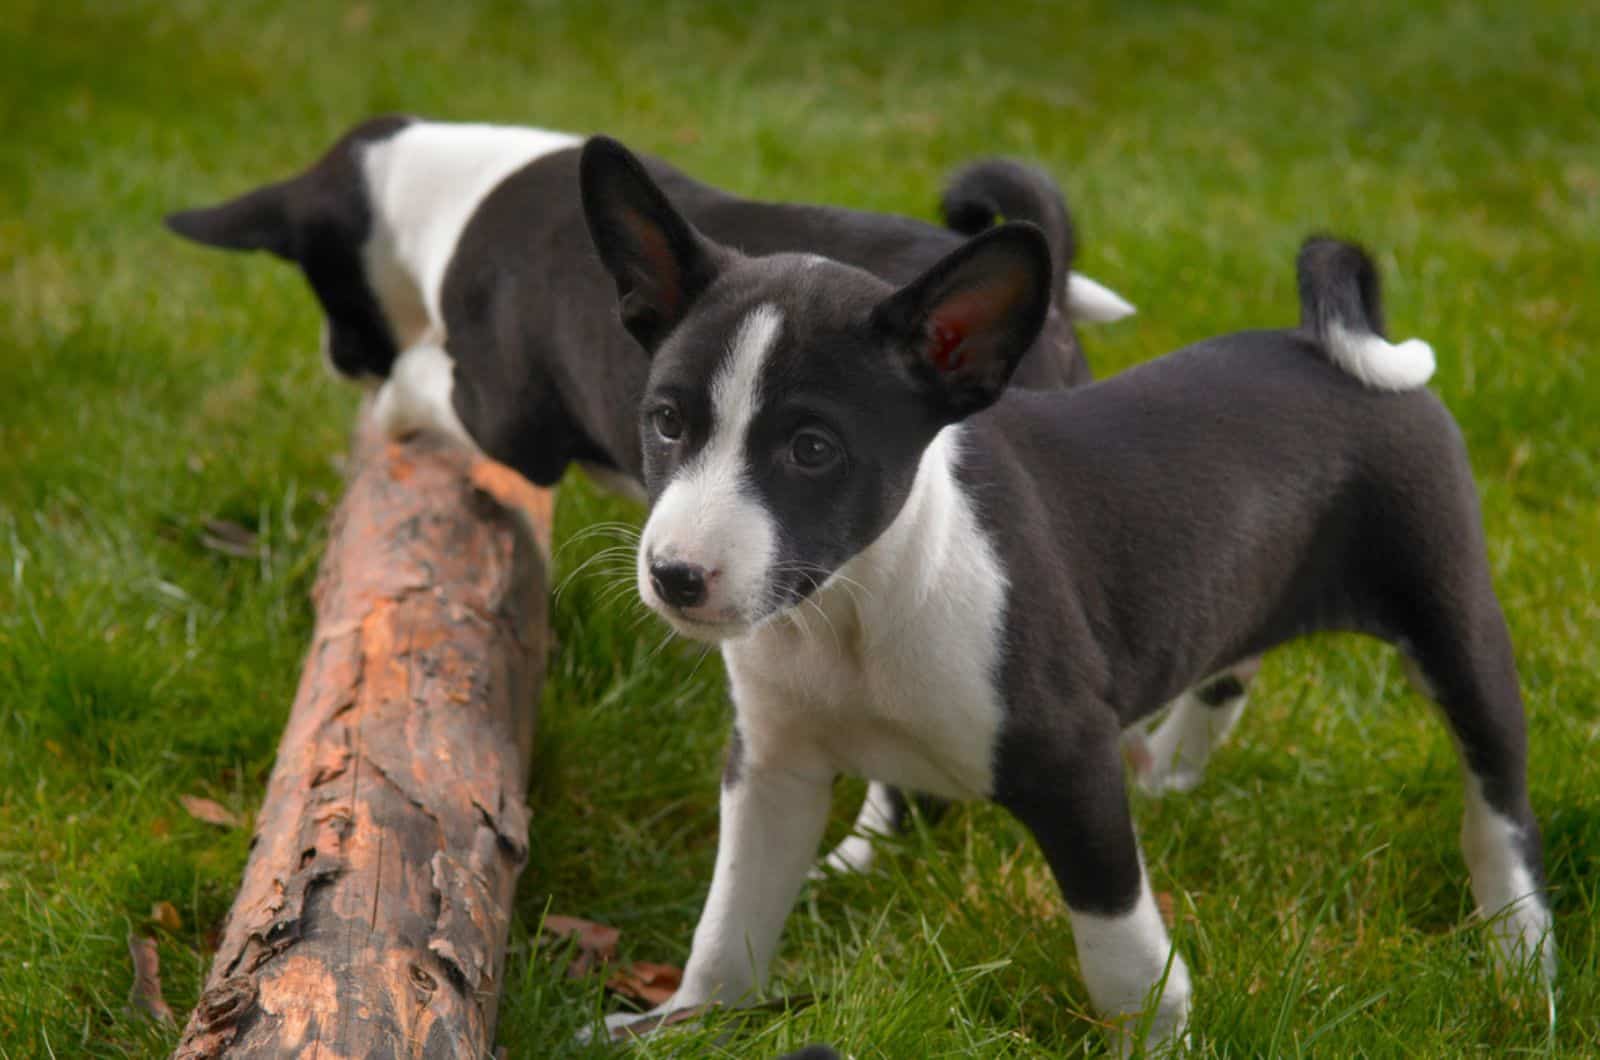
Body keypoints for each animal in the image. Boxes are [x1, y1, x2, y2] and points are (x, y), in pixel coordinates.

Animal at [165, 116, 1139, 499]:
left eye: (318, 284)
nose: (337, 359)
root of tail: (1043, 295)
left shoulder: (505, 418)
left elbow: (417, 378)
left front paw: (388, 405)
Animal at [582, 139, 1555, 1056]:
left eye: (812, 449)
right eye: (666, 422)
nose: (675, 575)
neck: (861, 601)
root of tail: (1336, 348)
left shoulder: (1068, 762)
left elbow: (1122, 951)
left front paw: (1162, 1044)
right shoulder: (773, 766)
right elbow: (729, 927)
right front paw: (686, 1023)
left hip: (1453, 625)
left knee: (1497, 808)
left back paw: (1522, 959)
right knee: (1230, 663)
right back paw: (1173, 770)